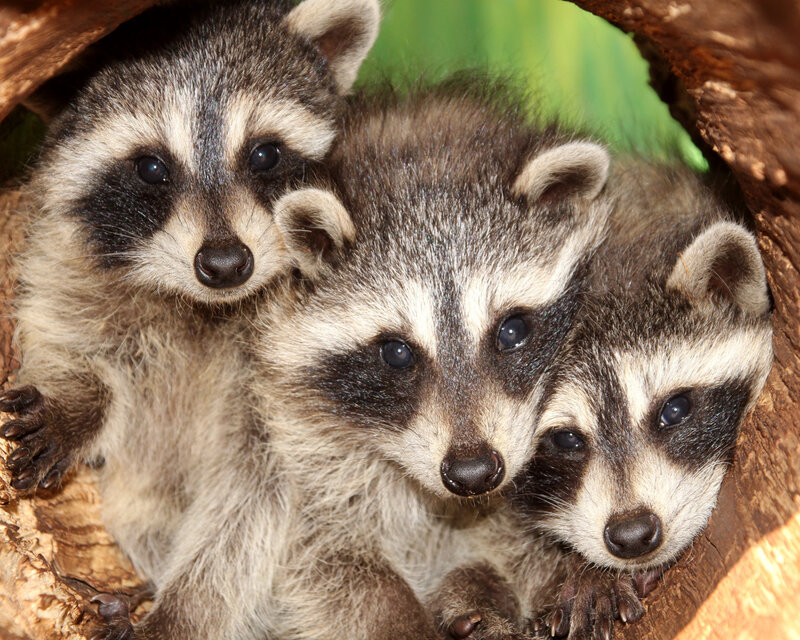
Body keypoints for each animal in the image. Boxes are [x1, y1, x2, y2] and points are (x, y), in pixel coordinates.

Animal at [0, 0, 378, 638]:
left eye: (264, 153)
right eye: (151, 167)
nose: (225, 265)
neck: (205, 308)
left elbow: (257, 502)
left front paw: (181, 610)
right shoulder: (63, 251)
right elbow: (59, 325)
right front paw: (74, 398)